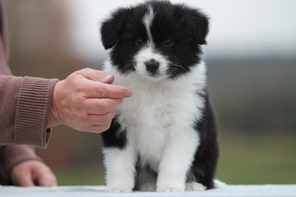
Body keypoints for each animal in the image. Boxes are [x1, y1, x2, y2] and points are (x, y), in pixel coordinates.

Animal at [100, 0, 219, 192]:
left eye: (169, 42)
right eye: (138, 41)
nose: (151, 64)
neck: (153, 87)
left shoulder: (183, 124)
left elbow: (173, 160)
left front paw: (170, 187)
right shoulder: (119, 123)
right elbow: (119, 160)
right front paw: (119, 187)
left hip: (208, 152)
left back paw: (193, 185)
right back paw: (148, 184)